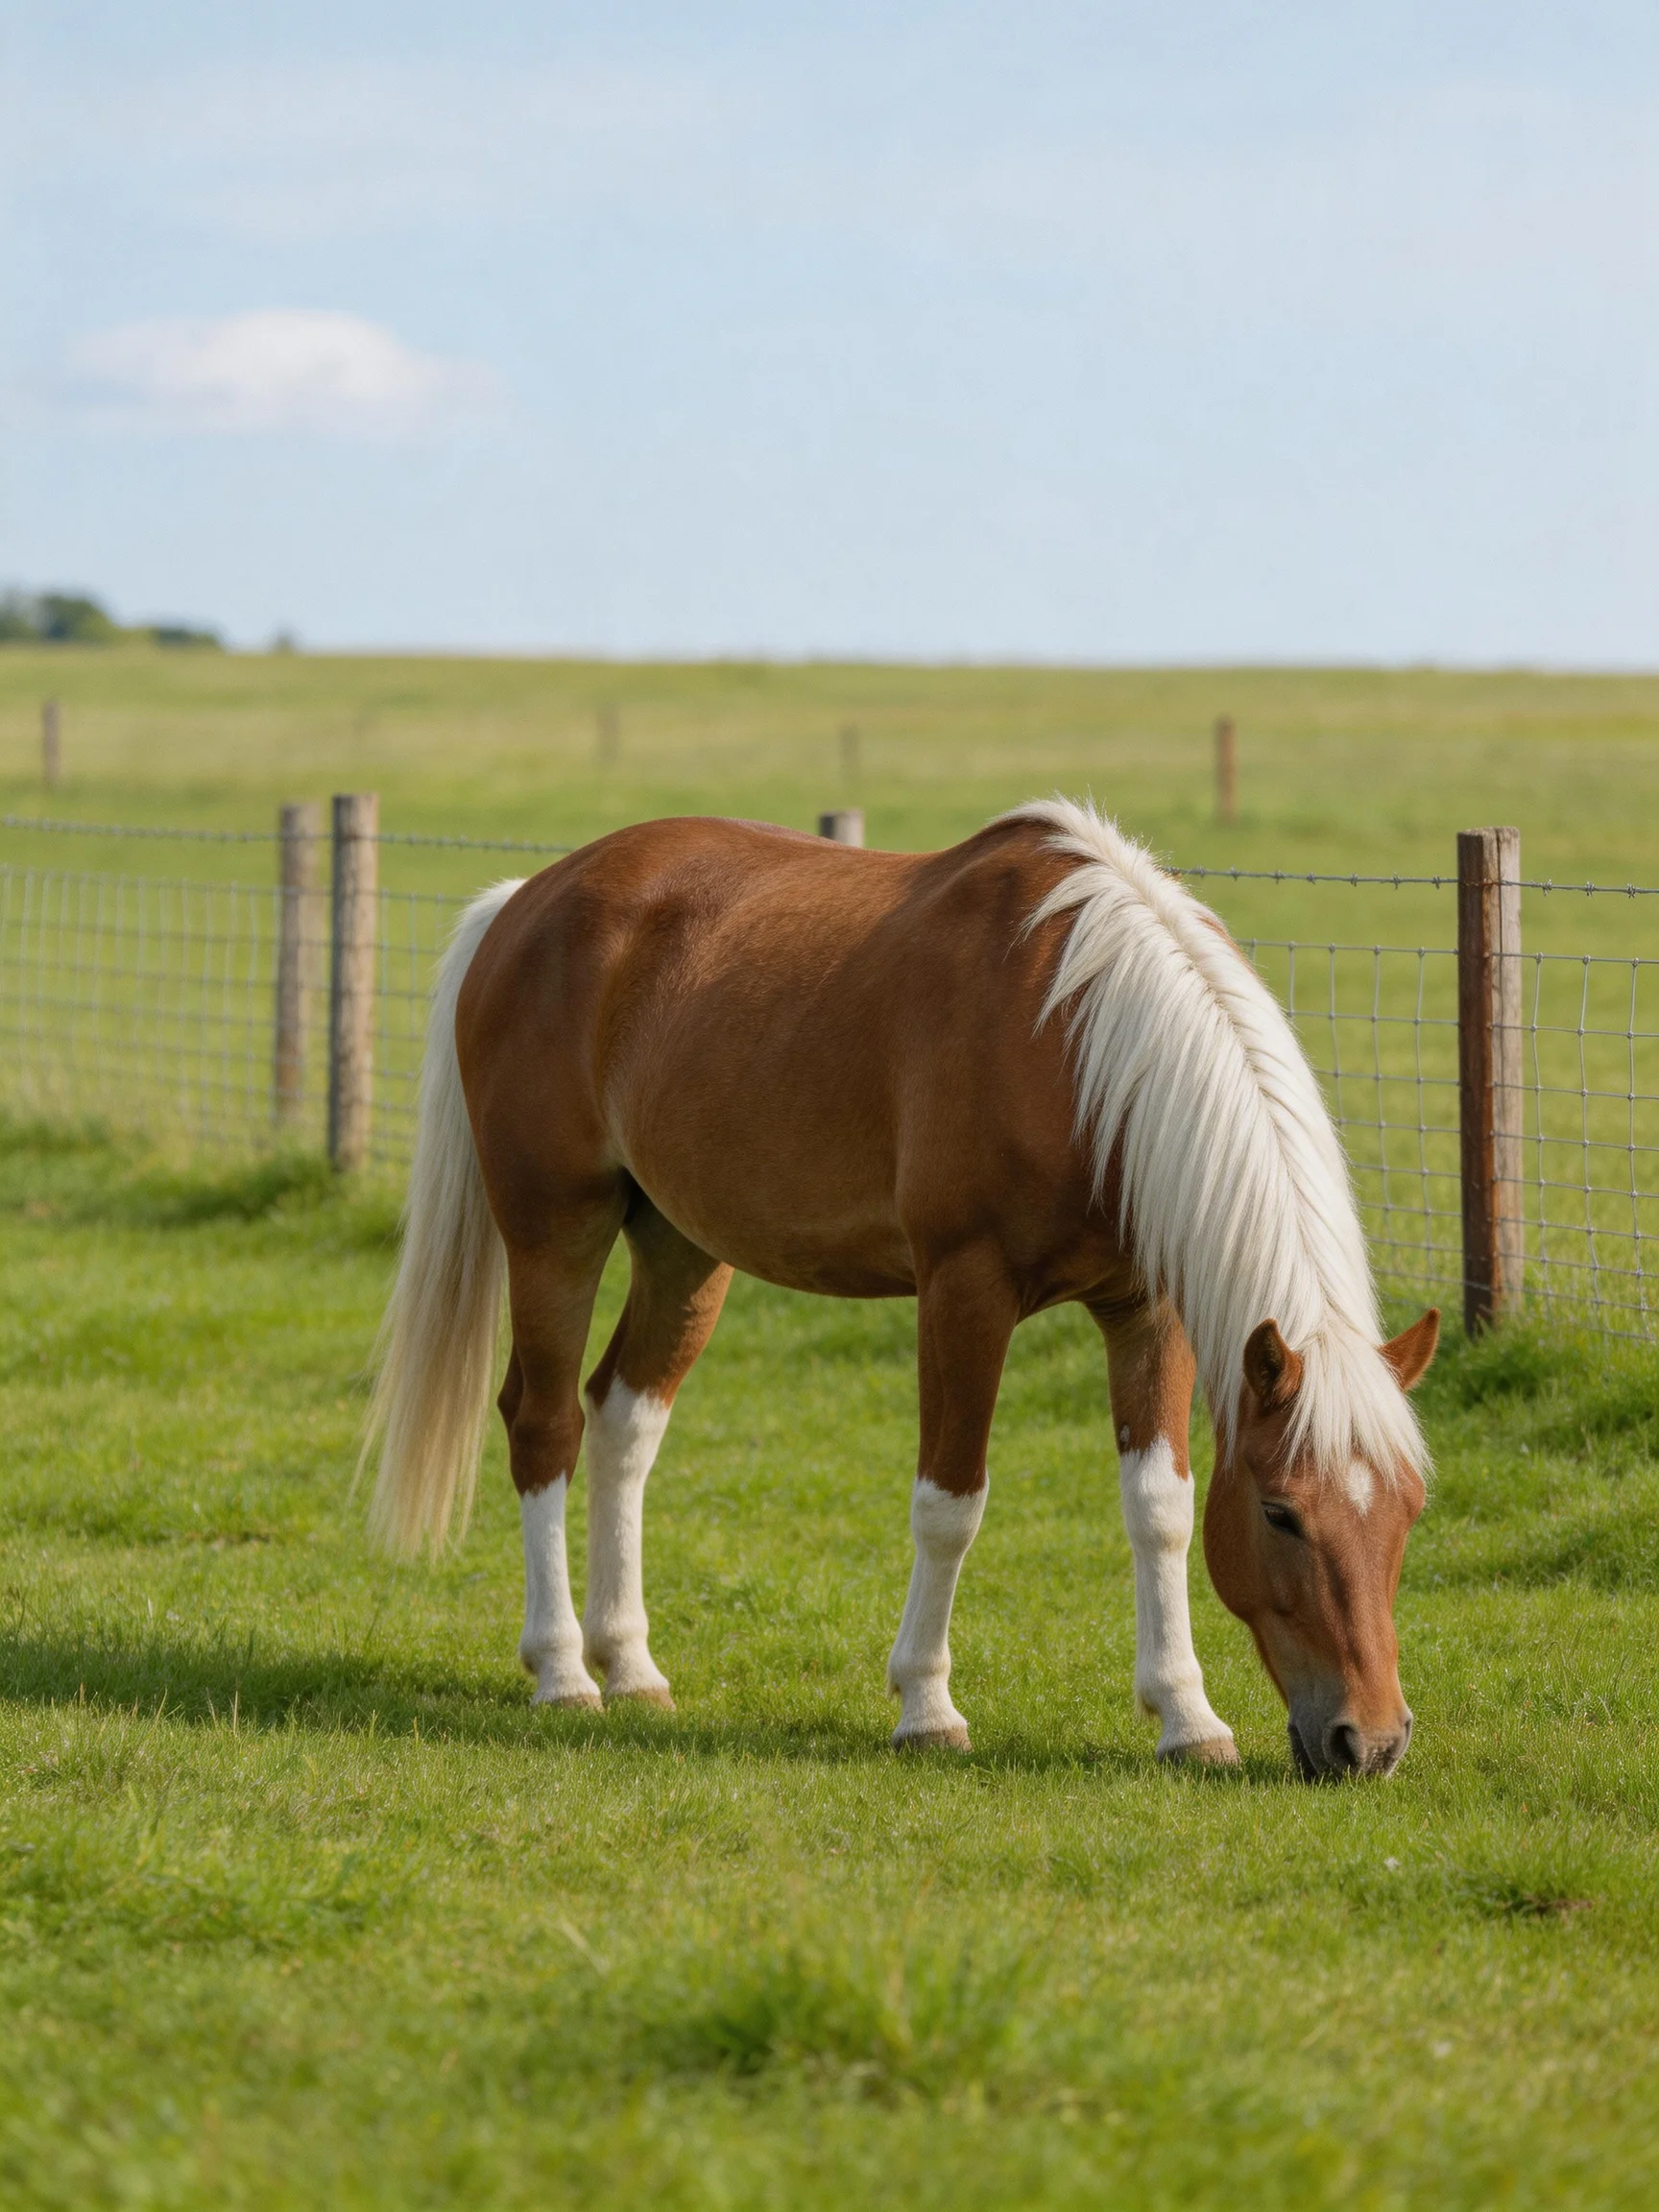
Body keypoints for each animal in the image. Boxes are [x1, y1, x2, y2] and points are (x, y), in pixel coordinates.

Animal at [362, 799, 1438, 1780]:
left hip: (680, 1245)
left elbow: (1160, 1508)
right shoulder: (965, 1289)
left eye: (1411, 1509)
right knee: (544, 1423)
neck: (1077, 1034)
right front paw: (926, 1707)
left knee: (622, 1421)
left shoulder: (1148, 1310)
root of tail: (524, 900)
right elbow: (950, 1503)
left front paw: (1187, 1716)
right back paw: (562, 1674)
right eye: (1280, 1514)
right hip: (556, 1230)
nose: (1371, 1742)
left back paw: (628, 1664)